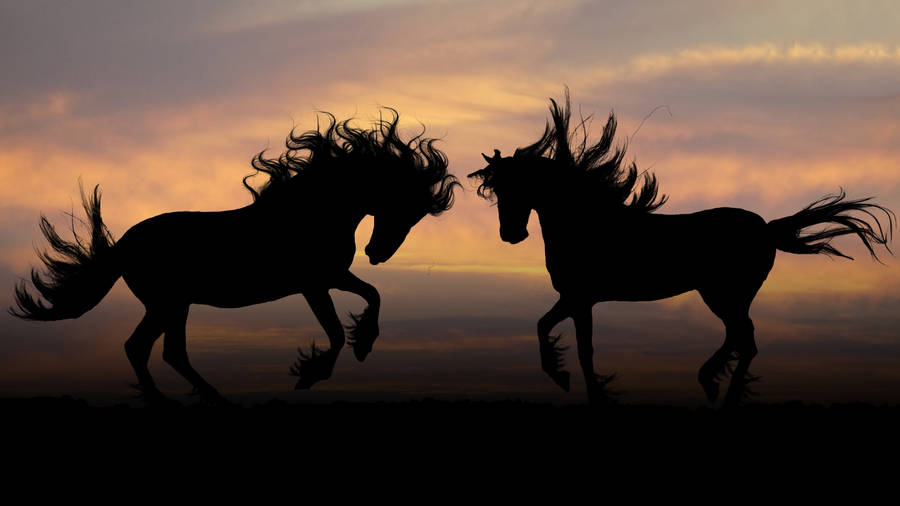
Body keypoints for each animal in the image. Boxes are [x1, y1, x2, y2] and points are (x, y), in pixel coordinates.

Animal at [10, 109, 460, 406]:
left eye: (417, 216)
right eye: (405, 206)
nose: (377, 253)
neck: (312, 211)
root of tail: (125, 244)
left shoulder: (331, 277)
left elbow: (372, 296)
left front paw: (362, 344)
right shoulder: (315, 284)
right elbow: (334, 331)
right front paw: (311, 374)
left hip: (170, 305)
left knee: (155, 350)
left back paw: (195, 400)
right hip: (169, 303)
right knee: (150, 348)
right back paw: (190, 402)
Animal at [468, 91, 894, 407]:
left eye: (518, 186)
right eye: (495, 190)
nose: (511, 235)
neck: (587, 222)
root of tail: (766, 229)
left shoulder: (581, 298)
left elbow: (582, 349)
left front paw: (577, 385)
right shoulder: (573, 298)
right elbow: (545, 328)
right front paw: (563, 377)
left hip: (723, 293)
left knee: (744, 338)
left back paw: (717, 388)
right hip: (729, 295)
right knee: (741, 338)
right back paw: (715, 387)